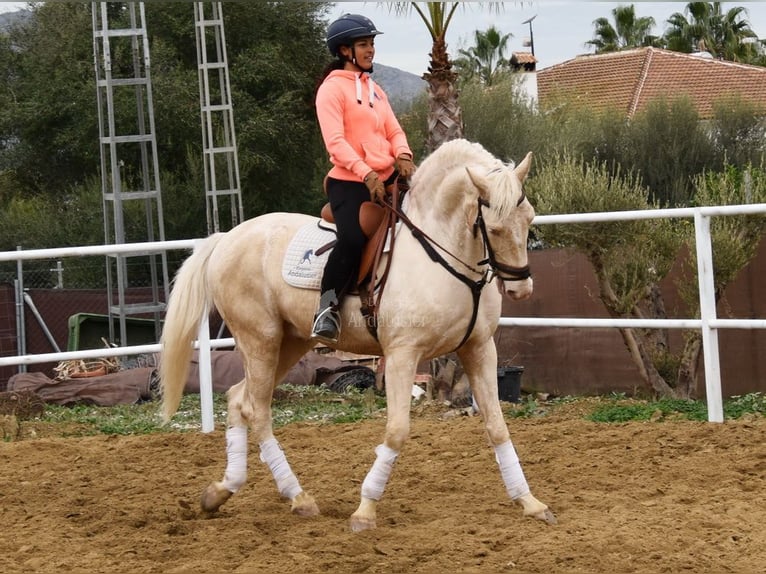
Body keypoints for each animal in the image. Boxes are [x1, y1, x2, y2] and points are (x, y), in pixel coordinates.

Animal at [160, 138, 560, 532]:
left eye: (529, 218)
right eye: (494, 228)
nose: (521, 288)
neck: (440, 250)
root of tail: (228, 238)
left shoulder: (479, 349)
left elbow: (497, 426)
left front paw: (531, 502)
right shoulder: (402, 355)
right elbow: (397, 431)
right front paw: (365, 510)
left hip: (289, 343)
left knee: (239, 399)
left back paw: (224, 491)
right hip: (260, 340)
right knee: (257, 410)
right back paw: (297, 497)